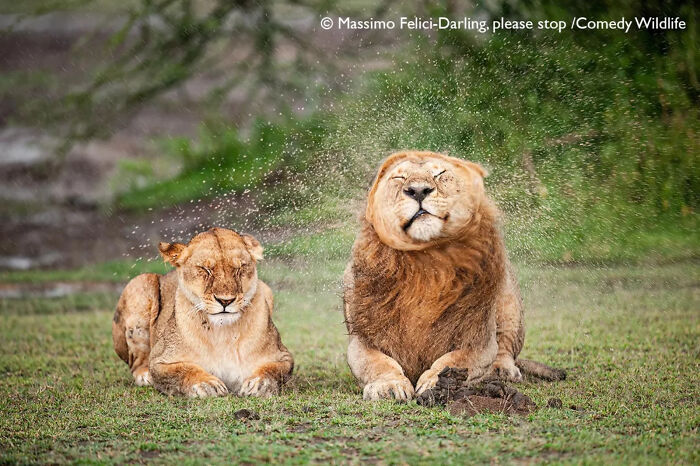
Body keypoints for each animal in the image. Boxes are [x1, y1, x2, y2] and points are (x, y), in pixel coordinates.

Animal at [112, 227, 293, 398]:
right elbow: (183, 370)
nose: (225, 301)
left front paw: (259, 384)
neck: (223, 333)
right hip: (140, 282)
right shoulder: (160, 360)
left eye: (240, 268)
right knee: (137, 362)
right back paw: (144, 376)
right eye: (206, 269)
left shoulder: (283, 356)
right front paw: (207, 384)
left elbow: (275, 370)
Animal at [343, 151, 565, 401]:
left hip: (509, 304)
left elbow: (455, 360)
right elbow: (378, 363)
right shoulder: (361, 340)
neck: (425, 267)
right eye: (399, 177)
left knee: (505, 347)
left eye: (439, 174)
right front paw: (389, 385)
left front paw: (437, 383)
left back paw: (501, 370)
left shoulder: (480, 340)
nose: (418, 190)